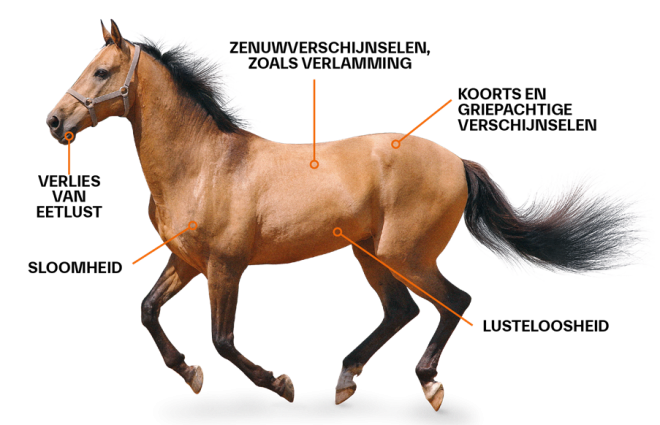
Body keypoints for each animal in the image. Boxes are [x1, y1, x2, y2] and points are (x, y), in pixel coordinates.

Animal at [46, 19, 654, 412]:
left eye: (101, 71)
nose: (54, 121)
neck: (204, 165)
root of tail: (458, 162)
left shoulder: (225, 266)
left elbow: (222, 339)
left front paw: (282, 386)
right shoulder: (186, 260)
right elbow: (148, 311)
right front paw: (191, 376)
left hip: (403, 253)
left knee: (453, 301)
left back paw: (426, 385)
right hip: (371, 254)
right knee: (402, 309)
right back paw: (346, 379)